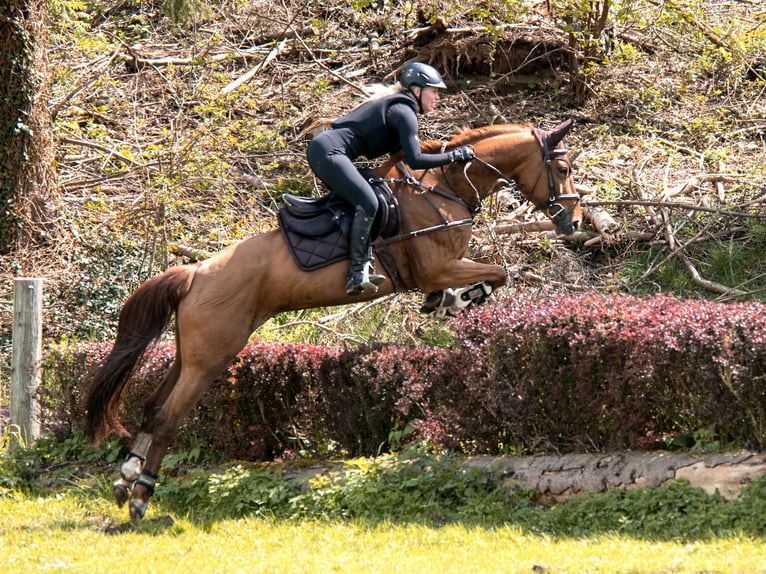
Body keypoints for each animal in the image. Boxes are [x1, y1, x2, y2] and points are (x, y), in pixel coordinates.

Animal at [84, 118, 584, 520]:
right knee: (169, 418)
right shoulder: (437, 267)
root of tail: (193, 273)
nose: (575, 223)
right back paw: (141, 497)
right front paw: (459, 300)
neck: (444, 189)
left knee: (153, 409)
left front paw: (447, 302)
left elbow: (492, 274)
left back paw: (125, 478)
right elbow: (497, 273)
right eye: (562, 170)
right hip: (211, 358)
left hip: (190, 354)